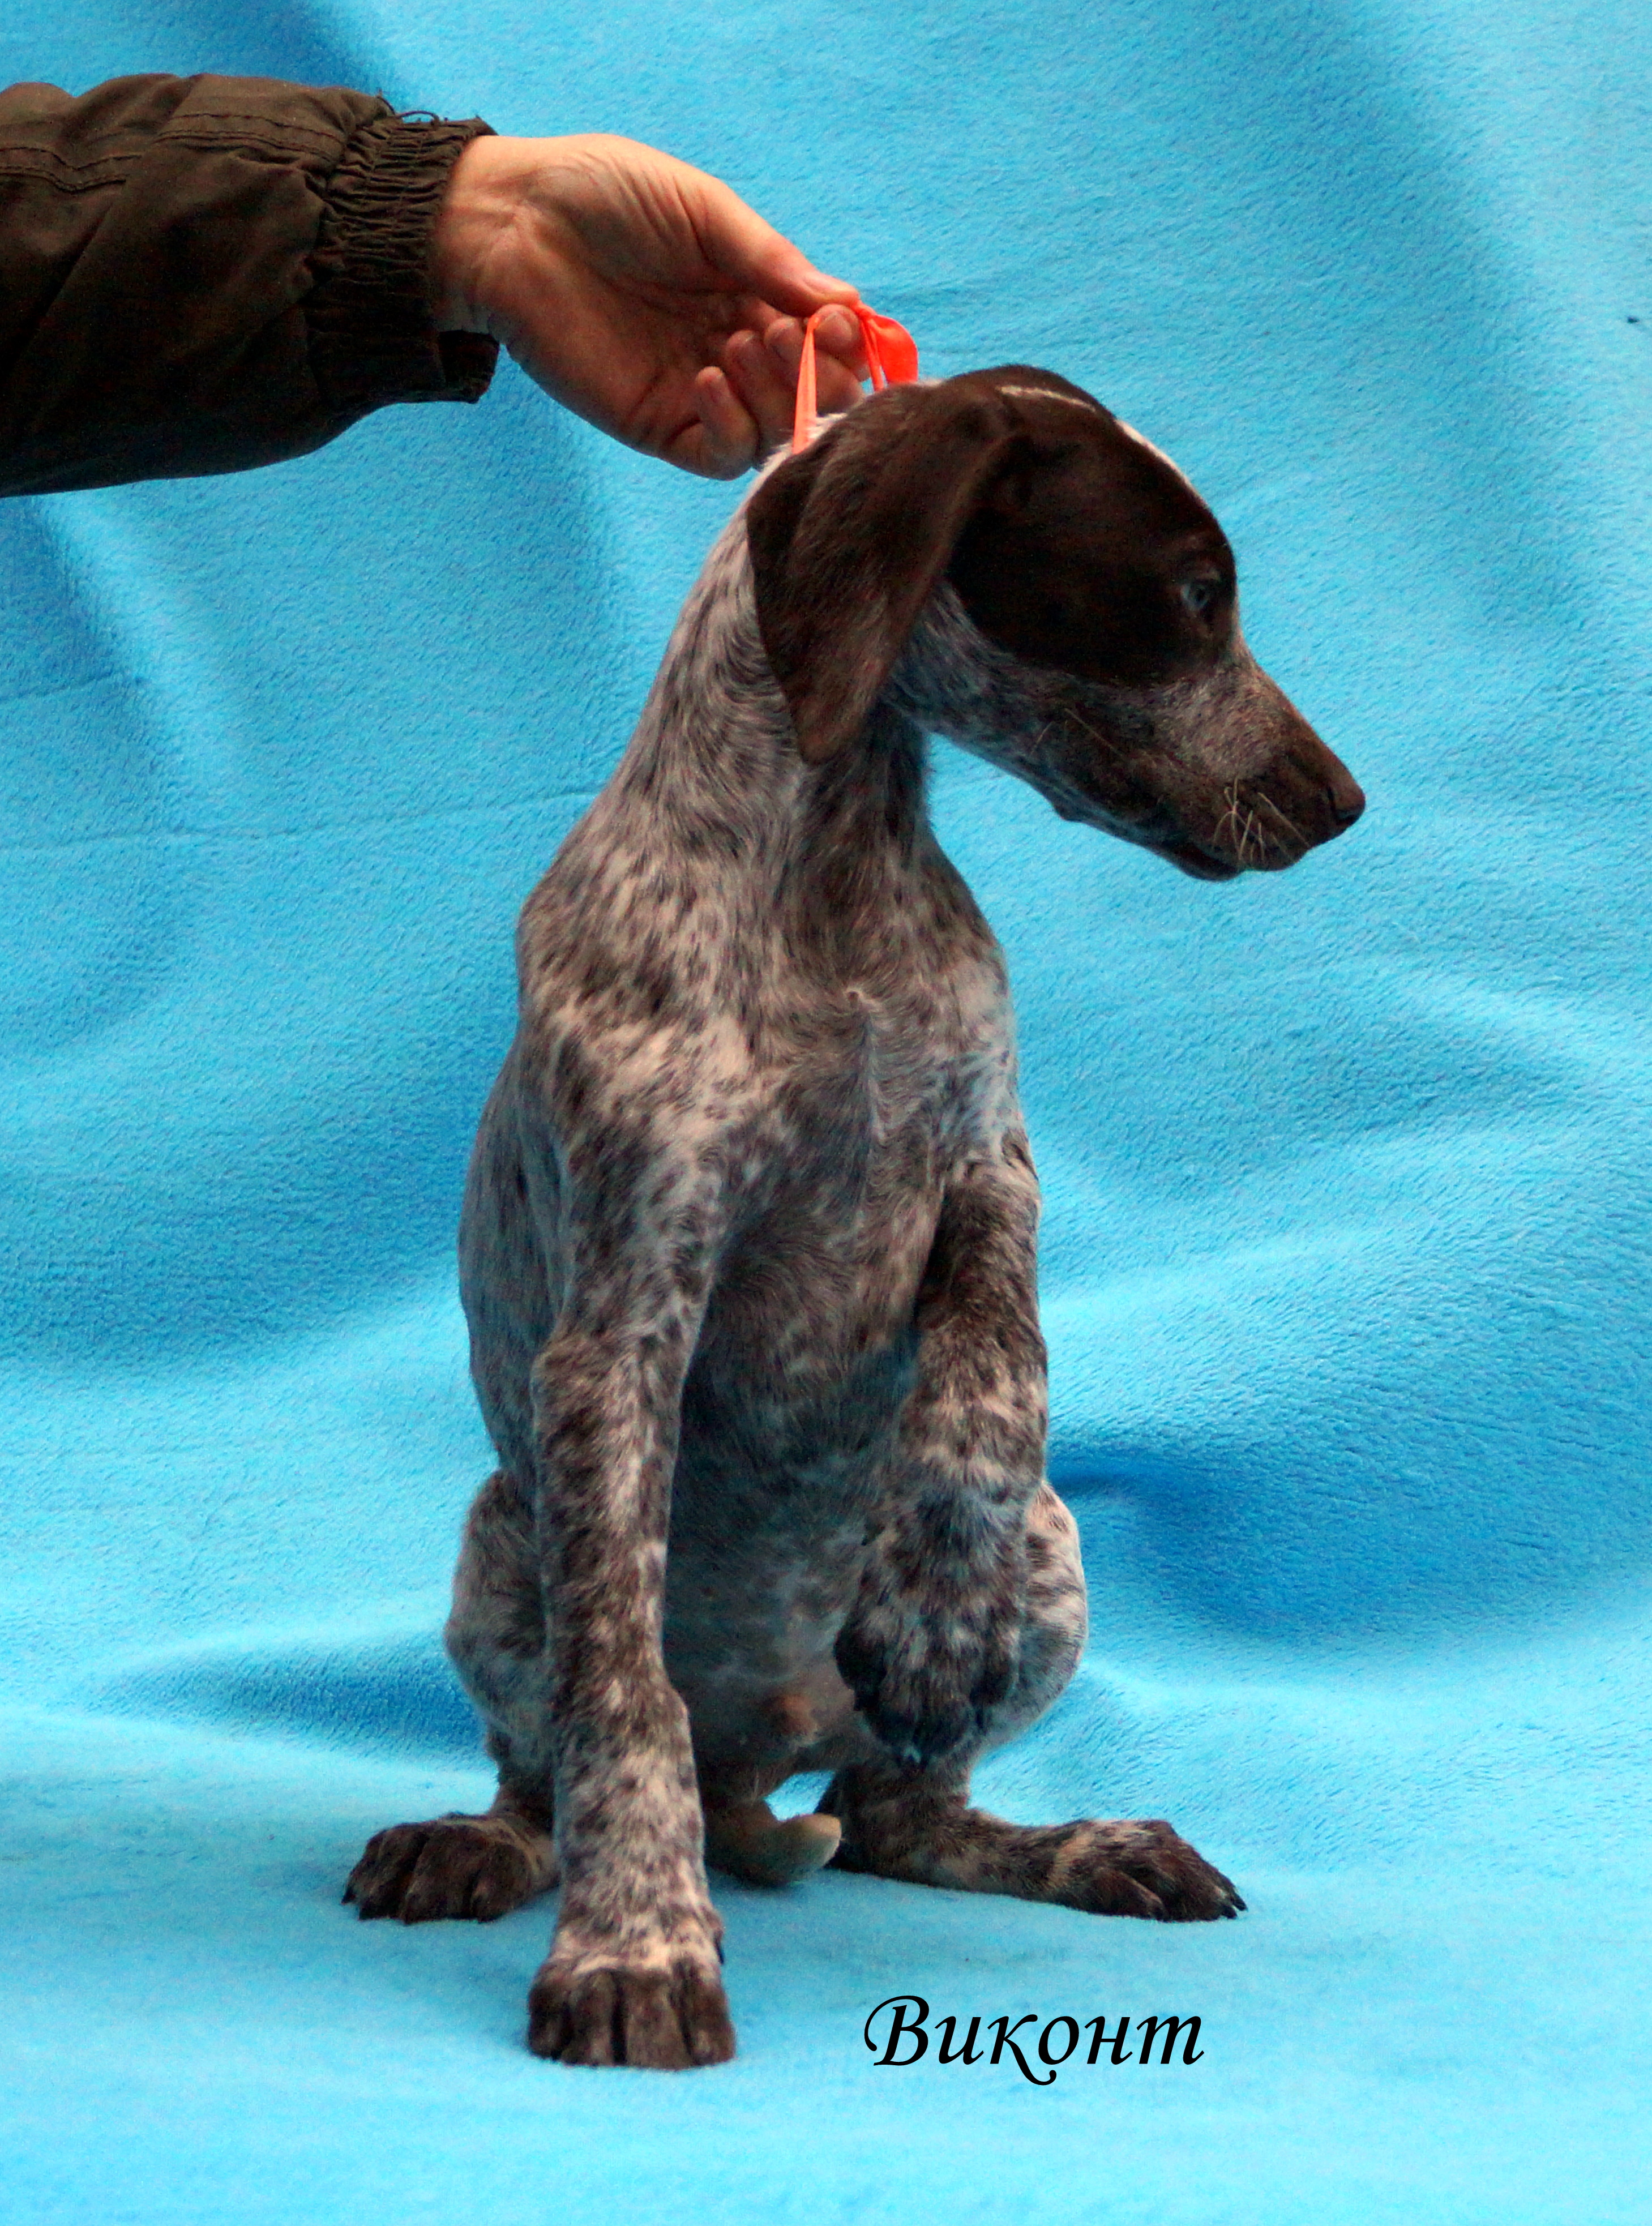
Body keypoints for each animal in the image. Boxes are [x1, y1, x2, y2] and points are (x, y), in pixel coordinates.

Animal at [344, 366, 1364, 2069]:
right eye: (1186, 595)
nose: (1341, 801)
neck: (829, 874)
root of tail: (757, 1759)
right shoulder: (625, 1319)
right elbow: (619, 1698)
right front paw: (634, 1944)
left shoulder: (988, 1167)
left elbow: (997, 1369)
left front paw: (933, 1603)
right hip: (501, 1547)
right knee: (557, 1765)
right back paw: (487, 1841)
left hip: (1055, 1562)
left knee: (900, 1813)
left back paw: (1079, 1839)